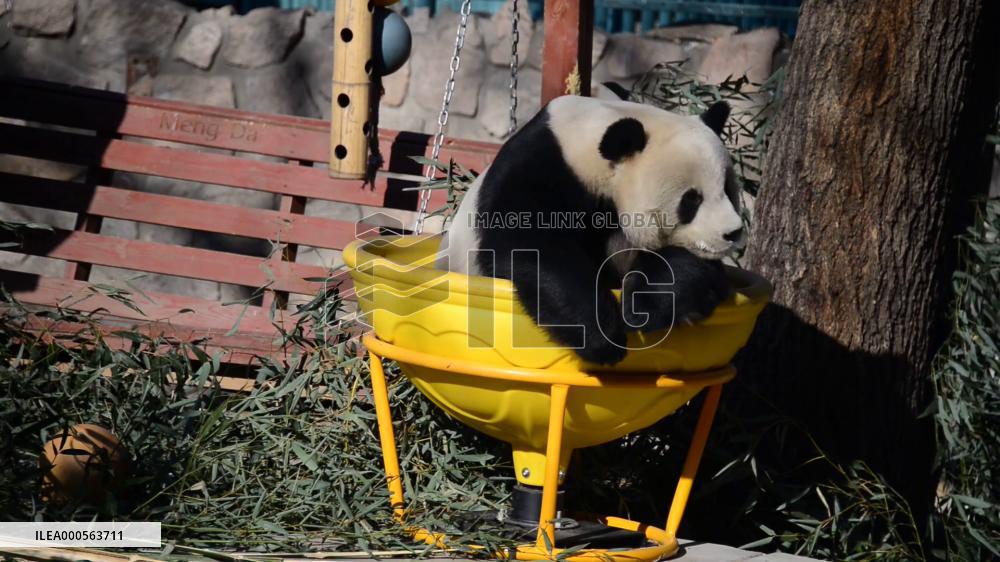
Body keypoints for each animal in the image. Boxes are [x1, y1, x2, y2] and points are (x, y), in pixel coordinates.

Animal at [436, 94, 745, 365]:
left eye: (728, 189)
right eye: (692, 199)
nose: (732, 233)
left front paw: (650, 306)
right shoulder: (542, 168)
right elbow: (529, 246)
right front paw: (603, 338)